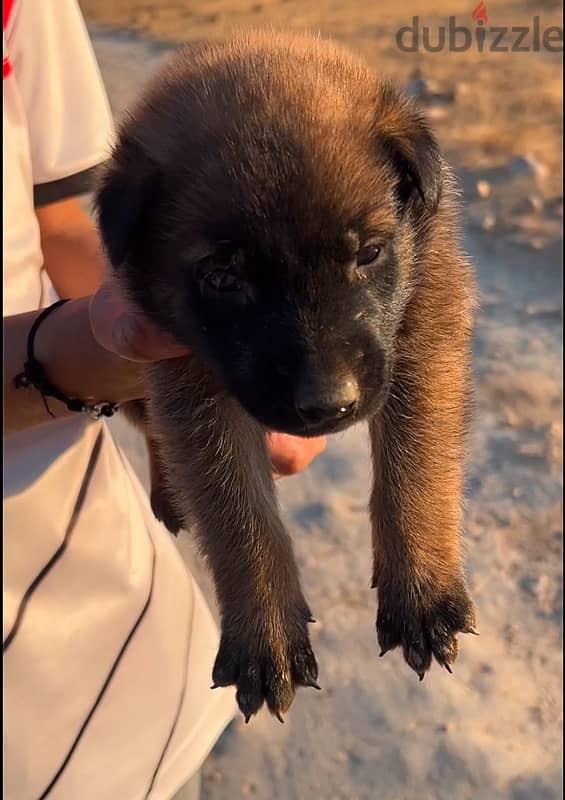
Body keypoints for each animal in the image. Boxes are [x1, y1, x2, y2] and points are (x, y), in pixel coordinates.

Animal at [94, 31, 478, 720]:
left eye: (370, 252)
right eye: (223, 276)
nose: (329, 404)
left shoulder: (428, 324)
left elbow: (417, 462)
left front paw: (421, 588)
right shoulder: (189, 381)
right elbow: (237, 513)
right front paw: (264, 632)